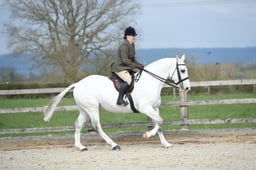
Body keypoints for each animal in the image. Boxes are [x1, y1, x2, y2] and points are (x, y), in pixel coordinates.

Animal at [43, 54, 190, 150]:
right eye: (182, 70)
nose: (187, 88)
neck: (150, 81)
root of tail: (78, 84)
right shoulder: (145, 107)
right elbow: (160, 121)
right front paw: (147, 135)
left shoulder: (154, 108)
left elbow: (158, 124)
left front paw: (165, 143)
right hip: (92, 108)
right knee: (97, 126)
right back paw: (114, 145)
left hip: (84, 110)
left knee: (78, 125)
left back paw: (80, 147)